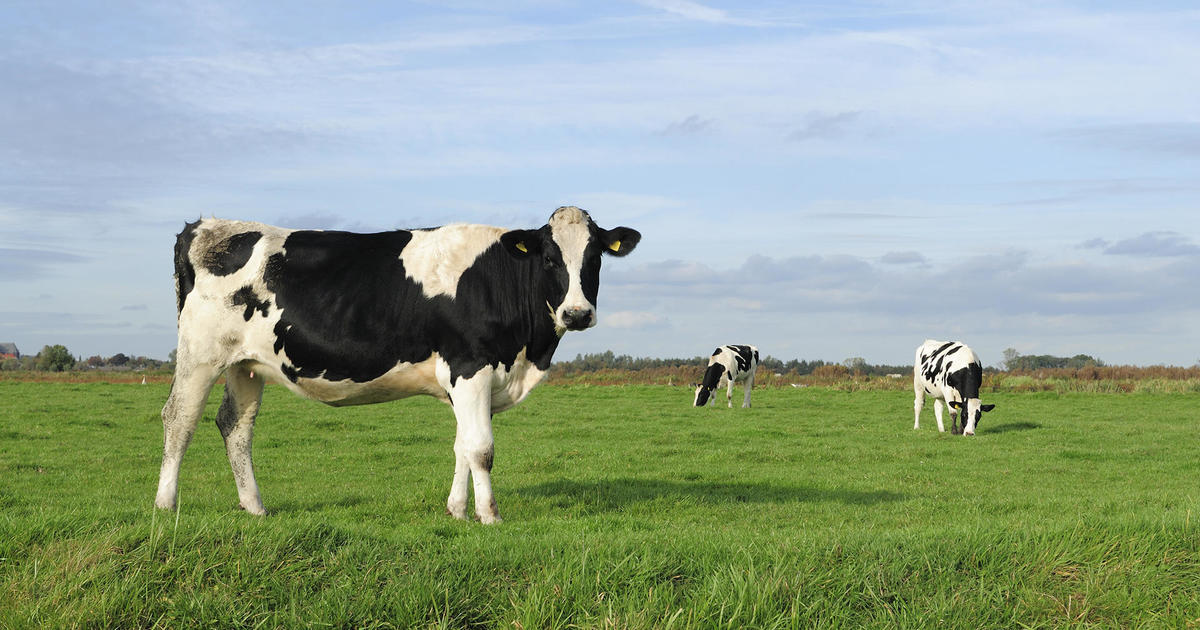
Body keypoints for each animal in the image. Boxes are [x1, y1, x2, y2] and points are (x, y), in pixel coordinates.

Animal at [156, 205, 643, 520]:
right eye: (549, 258)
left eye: (595, 256)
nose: (576, 314)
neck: (526, 354)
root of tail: (204, 226)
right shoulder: (470, 367)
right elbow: (481, 449)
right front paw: (489, 515)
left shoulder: (465, 381)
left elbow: (461, 446)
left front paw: (457, 511)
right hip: (201, 353)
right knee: (179, 419)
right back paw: (166, 505)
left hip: (246, 364)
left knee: (235, 426)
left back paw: (255, 508)